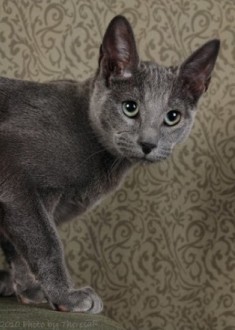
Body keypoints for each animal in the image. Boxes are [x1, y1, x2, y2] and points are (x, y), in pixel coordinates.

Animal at [0, 14, 220, 312]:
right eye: (130, 107)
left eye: (172, 117)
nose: (148, 144)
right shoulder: (15, 173)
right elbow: (46, 241)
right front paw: (66, 296)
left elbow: (19, 248)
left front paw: (31, 291)